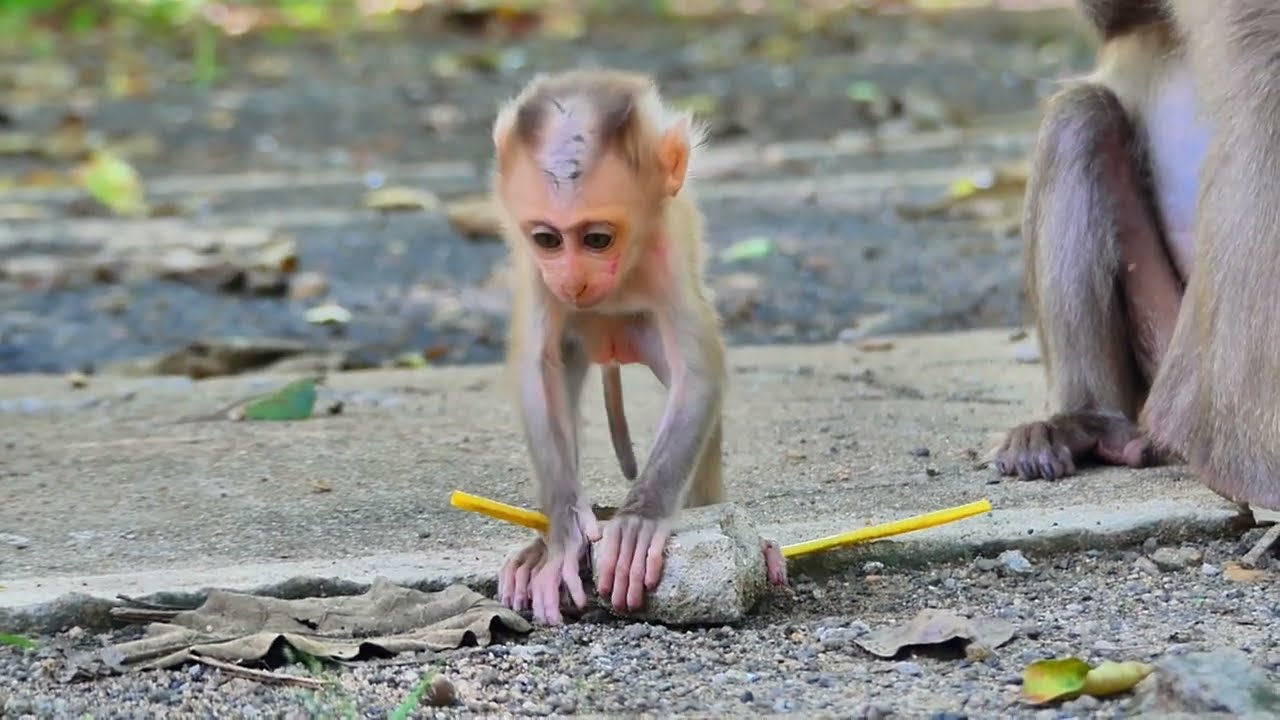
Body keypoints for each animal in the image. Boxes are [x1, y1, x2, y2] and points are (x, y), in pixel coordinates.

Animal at [489, 69, 788, 626]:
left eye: (597, 239)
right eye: (547, 240)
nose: (573, 281)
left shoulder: (663, 250)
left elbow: (698, 371)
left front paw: (639, 519)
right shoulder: (538, 272)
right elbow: (537, 369)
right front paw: (563, 532)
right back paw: (536, 551)